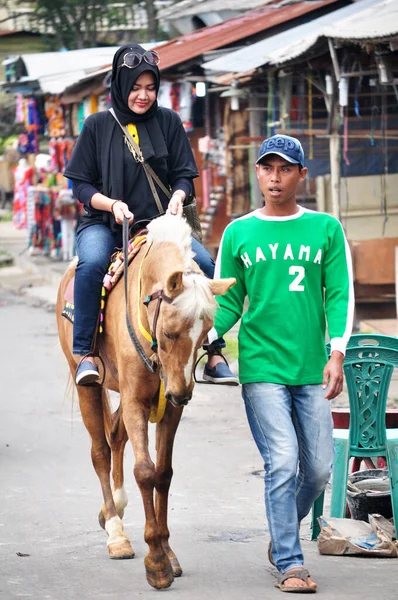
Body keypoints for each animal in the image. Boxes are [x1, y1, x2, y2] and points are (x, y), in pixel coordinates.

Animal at [56, 213, 236, 588]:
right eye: (169, 332)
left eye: (206, 333)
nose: (181, 393)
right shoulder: (137, 401)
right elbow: (144, 471)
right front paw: (156, 562)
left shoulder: (165, 408)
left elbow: (163, 473)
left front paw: (168, 552)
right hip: (88, 385)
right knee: (100, 450)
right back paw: (115, 532)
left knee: (115, 434)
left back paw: (116, 508)